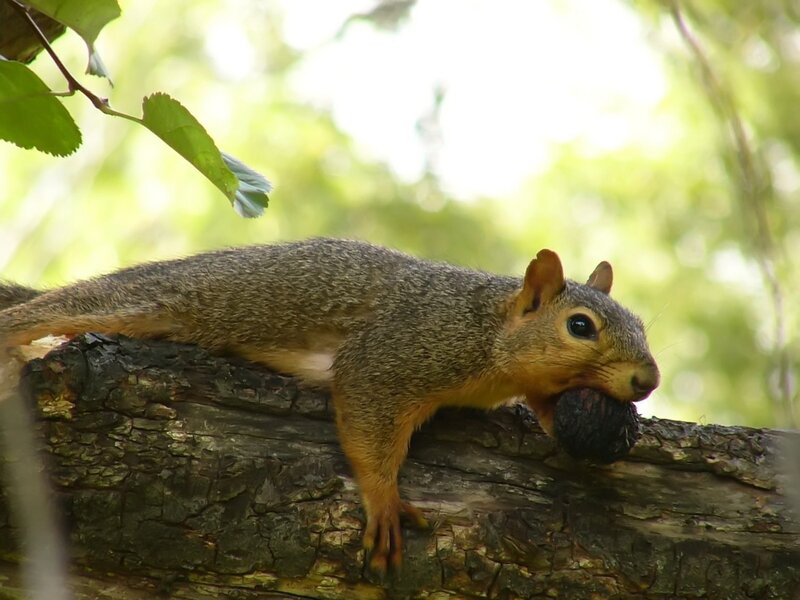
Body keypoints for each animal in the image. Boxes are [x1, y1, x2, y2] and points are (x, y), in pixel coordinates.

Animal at [0, 238, 659, 573]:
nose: (648, 379)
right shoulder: (396, 353)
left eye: (643, 324)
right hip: (152, 300)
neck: (488, 329)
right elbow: (366, 419)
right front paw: (384, 502)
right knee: (49, 311)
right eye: (580, 326)